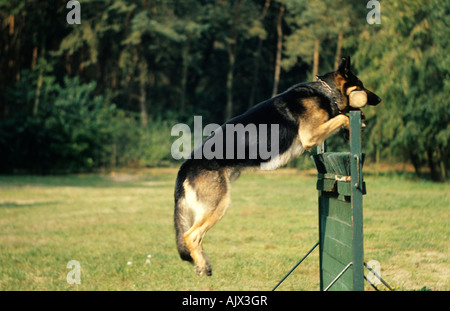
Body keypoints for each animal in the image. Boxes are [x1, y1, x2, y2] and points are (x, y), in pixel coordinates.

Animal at [174, 57, 378, 276]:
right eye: (361, 85)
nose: (379, 99)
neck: (326, 91)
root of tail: (186, 165)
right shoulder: (310, 135)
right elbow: (341, 117)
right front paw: (351, 124)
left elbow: (341, 117)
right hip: (218, 204)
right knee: (190, 235)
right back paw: (203, 265)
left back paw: (201, 263)